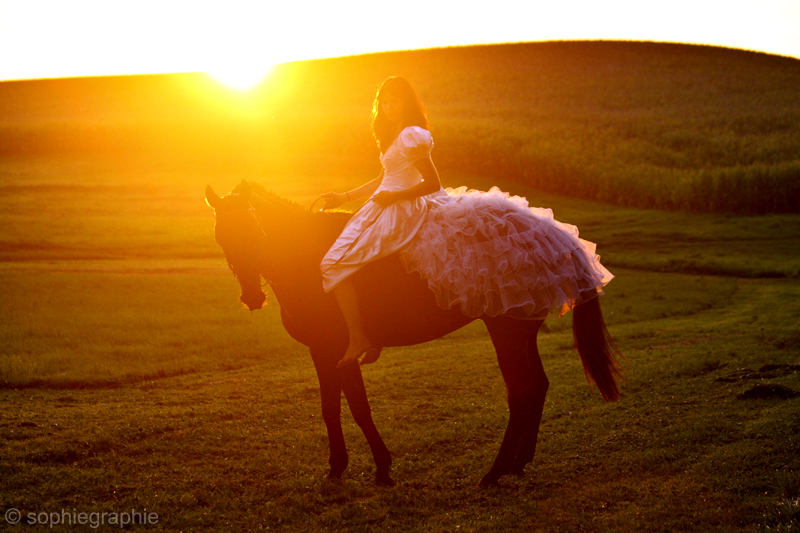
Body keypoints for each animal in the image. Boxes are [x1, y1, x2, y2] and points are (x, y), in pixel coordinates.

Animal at [203, 180, 620, 486]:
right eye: (221, 236)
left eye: (254, 229)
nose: (251, 297)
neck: (307, 258)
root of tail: (554, 235)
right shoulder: (322, 353)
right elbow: (331, 408)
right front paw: (339, 466)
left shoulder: (336, 350)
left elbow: (357, 407)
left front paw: (381, 467)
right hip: (521, 331)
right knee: (538, 386)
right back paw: (519, 462)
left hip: (507, 333)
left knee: (522, 392)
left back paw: (495, 471)